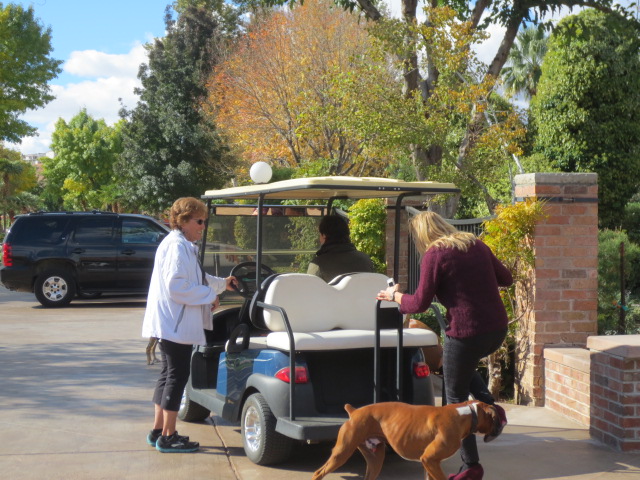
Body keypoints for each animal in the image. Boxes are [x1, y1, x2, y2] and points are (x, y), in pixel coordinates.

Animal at [312, 400, 504, 480]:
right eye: (497, 417)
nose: (501, 427)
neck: (466, 413)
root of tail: (354, 411)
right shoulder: (430, 460)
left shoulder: (429, 464)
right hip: (342, 453)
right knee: (318, 473)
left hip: (375, 459)